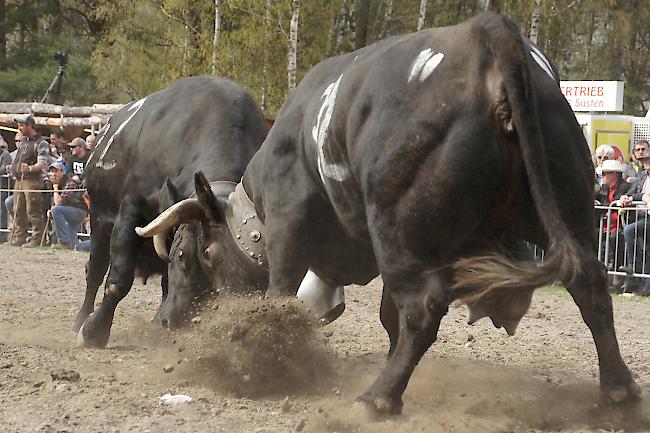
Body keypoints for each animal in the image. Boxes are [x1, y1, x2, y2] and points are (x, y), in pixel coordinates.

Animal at [74, 76, 268, 346]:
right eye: (183, 256)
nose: (175, 322)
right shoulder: (130, 210)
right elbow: (118, 280)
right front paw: (94, 331)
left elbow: (167, 283)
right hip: (99, 220)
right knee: (94, 271)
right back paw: (81, 319)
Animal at [138, 11, 636, 414]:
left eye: (193, 255)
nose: (167, 320)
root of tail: (487, 36)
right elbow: (386, 317)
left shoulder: (288, 231)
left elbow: (280, 298)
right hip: (562, 206)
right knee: (589, 282)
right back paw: (618, 389)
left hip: (397, 229)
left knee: (422, 308)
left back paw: (379, 397)